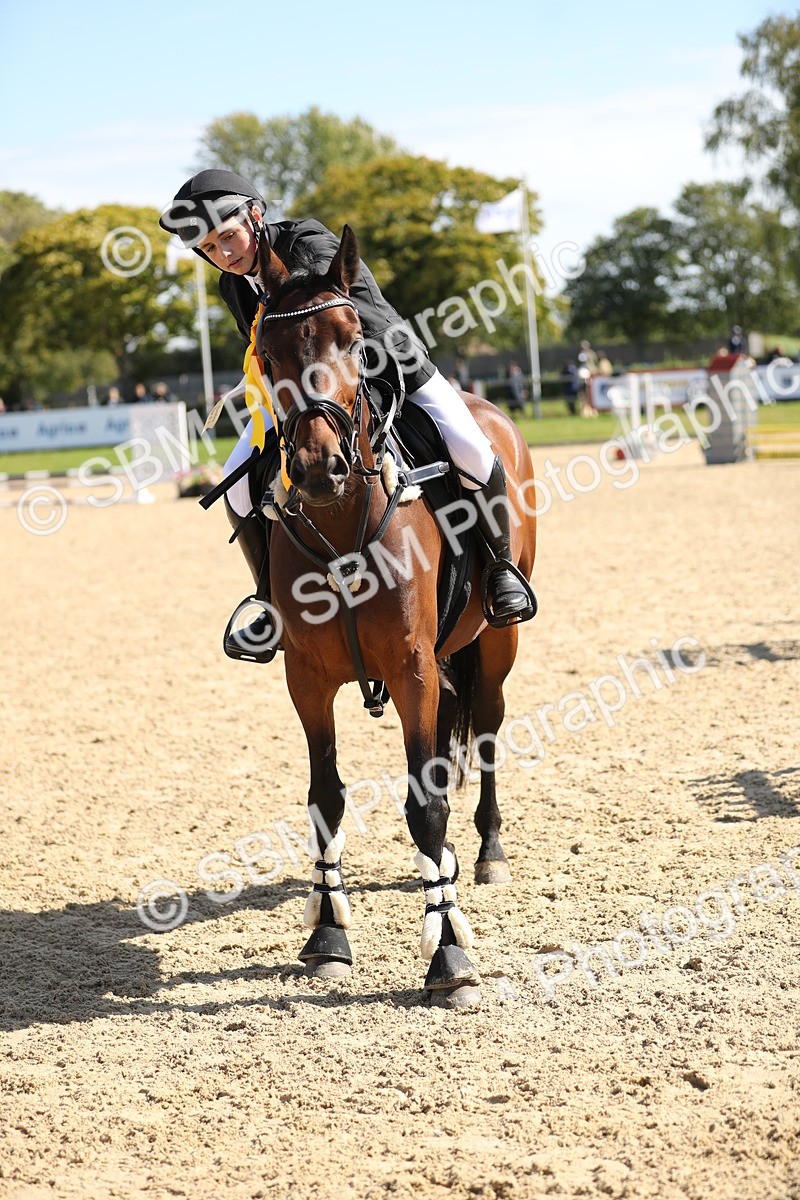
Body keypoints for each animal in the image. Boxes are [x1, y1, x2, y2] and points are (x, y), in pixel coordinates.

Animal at [254, 225, 537, 1008]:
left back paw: (488, 849)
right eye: (267, 353)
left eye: (354, 340)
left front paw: (448, 955)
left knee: (489, 729)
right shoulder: (308, 679)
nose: (319, 466)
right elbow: (325, 798)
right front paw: (327, 935)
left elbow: (426, 805)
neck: (343, 521)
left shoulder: (412, 669)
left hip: (495, 646)